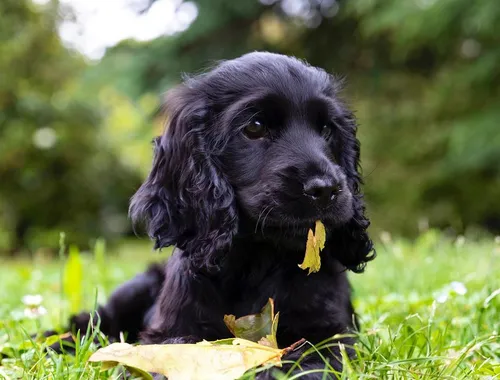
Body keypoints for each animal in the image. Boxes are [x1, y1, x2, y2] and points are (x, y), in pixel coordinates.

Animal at [54, 52, 376, 378]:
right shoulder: (169, 330)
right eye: (255, 127)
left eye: (327, 129)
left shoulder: (329, 334)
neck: (258, 258)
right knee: (93, 321)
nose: (325, 189)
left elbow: (305, 363)